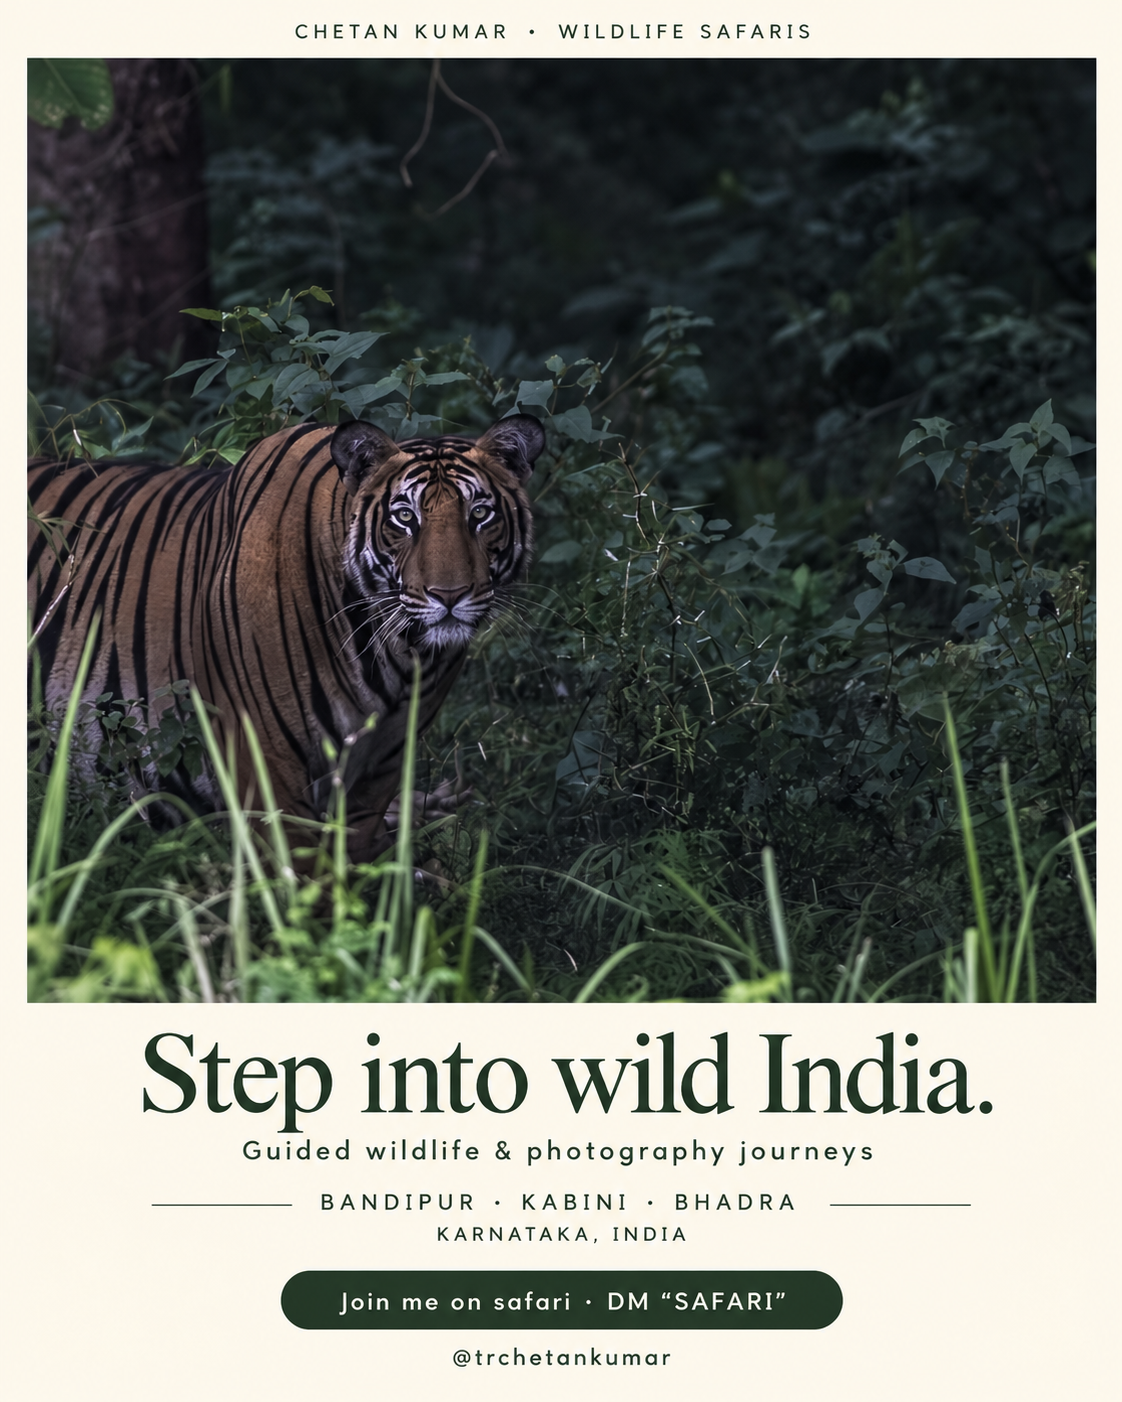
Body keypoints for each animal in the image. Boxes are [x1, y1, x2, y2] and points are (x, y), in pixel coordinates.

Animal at [28, 414, 545, 861]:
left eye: (481, 513)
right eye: (404, 518)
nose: (450, 595)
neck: (396, 654)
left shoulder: (380, 766)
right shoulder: (266, 757)